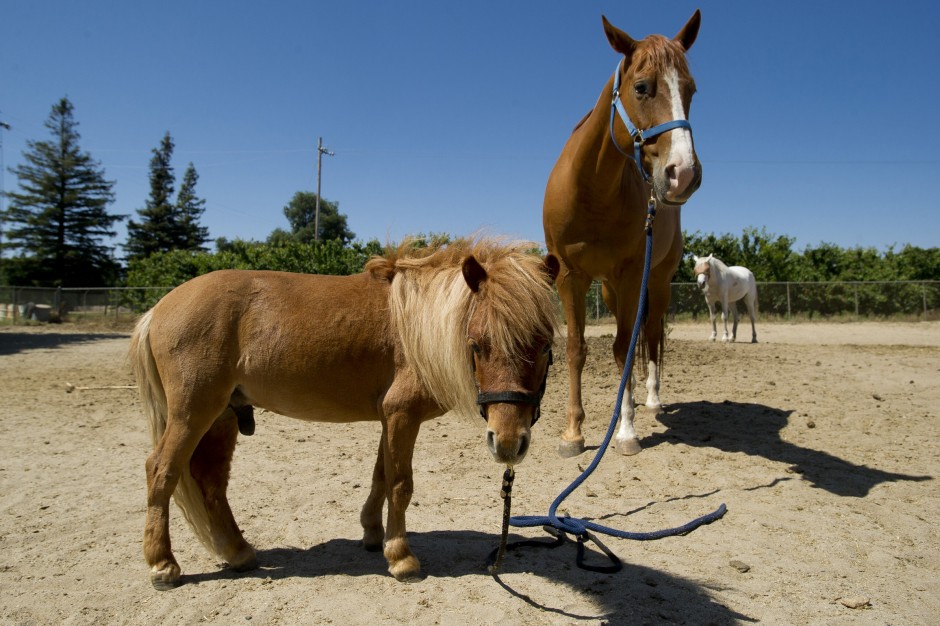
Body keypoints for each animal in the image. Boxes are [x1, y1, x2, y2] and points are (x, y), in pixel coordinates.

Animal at [129, 238, 560, 589]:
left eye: (544, 346)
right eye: (476, 344)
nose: (508, 443)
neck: (416, 326)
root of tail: (159, 308)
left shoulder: (389, 419)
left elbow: (381, 477)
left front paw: (373, 534)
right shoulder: (402, 415)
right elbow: (400, 484)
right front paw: (401, 557)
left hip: (223, 419)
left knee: (212, 483)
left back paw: (238, 553)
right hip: (193, 414)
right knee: (162, 471)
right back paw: (163, 565)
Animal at [543, 11, 703, 457]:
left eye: (690, 90)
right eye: (642, 87)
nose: (683, 174)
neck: (593, 190)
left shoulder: (632, 275)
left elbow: (626, 347)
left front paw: (626, 429)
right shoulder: (570, 276)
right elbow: (577, 349)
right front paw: (573, 433)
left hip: (656, 283)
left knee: (650, 337)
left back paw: (651, 400)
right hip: (613, 291)